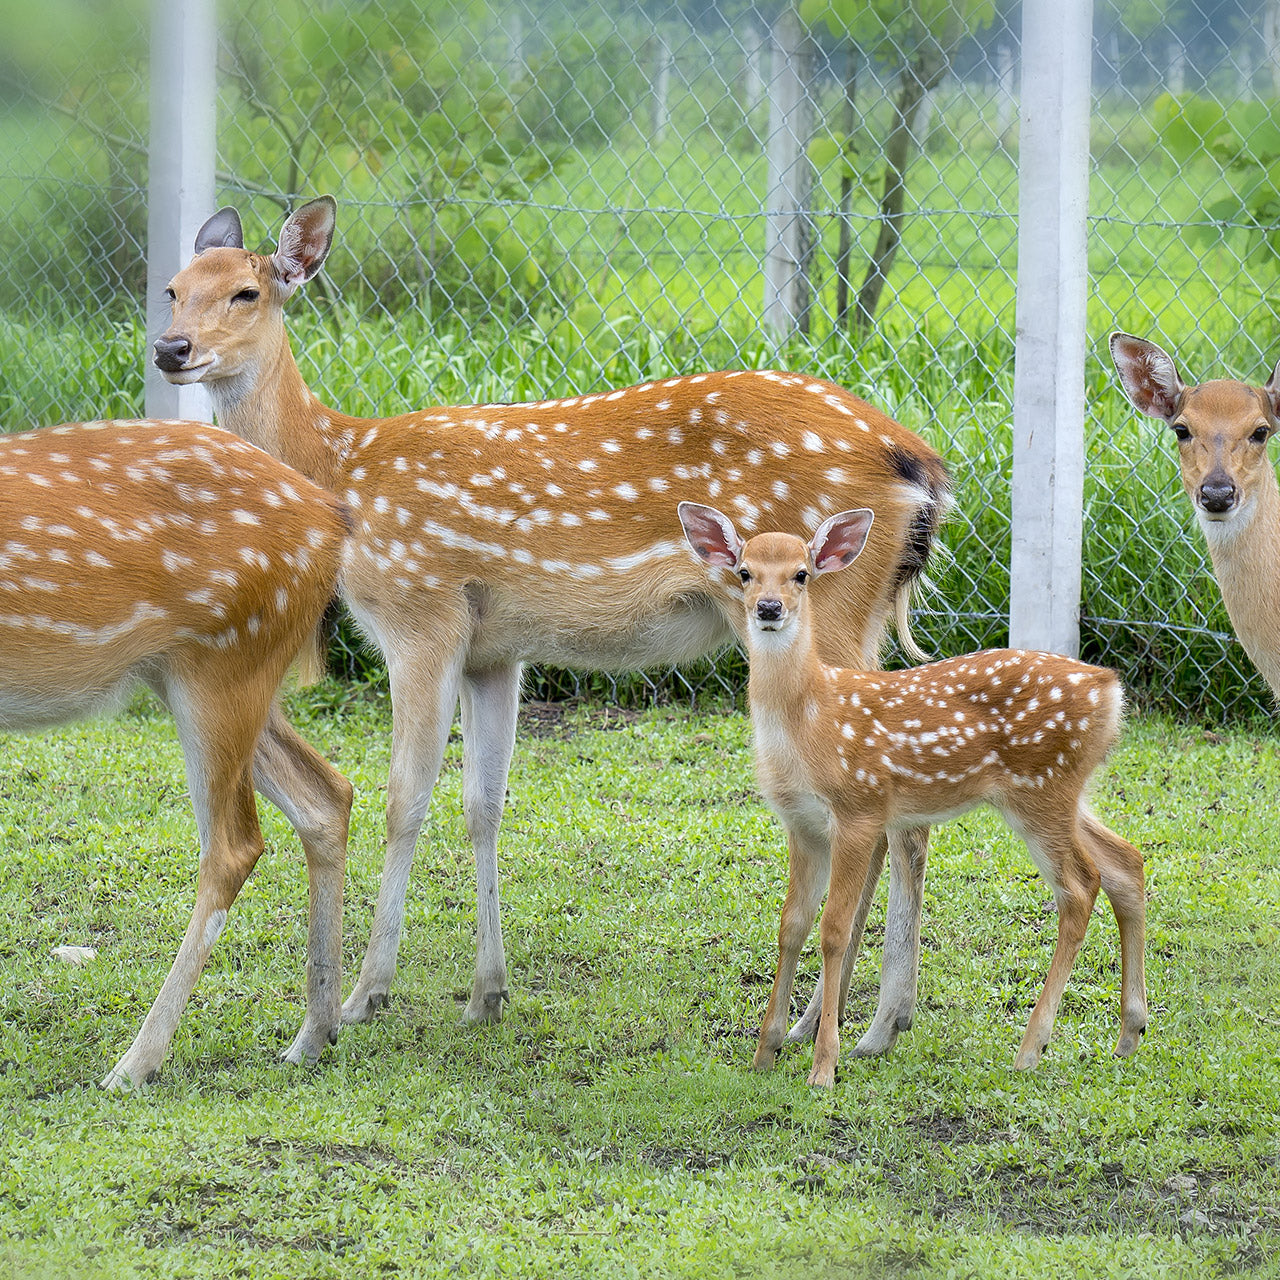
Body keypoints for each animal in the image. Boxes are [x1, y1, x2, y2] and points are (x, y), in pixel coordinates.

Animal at [1, 419, 350, 1090]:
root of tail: (331, 516)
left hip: (224, 660)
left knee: (235, 845)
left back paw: (134, 1064)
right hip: (199, 670)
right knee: (327, 795)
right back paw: (313, 1036)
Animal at [152, 202, 952, 1039]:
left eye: (247, 291)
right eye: (172, 288)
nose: (171, 349)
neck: (342, 474)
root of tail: (922, 468)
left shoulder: (420, 610)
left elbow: (405, 799)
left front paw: (365, 994)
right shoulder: (493, 650)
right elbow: (483, 806)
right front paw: (486, 992)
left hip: (826, 602)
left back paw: (849, 1025)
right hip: (856, 615)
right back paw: (871, 1021)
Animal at [680, 504, 1152, 1085]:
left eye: (801, 575)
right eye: (745, 572)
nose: (770, 608)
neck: (810, 721)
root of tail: (1111, 689)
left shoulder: (860, 808)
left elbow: (835, 930)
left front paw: (823, 1066)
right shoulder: (801, 823)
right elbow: (791, 925)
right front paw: (765, 1051)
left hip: (1040, 788)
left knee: (1081, 886)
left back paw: (1031, 1047)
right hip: (1063, 792)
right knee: (1126, 862)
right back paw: (1129, 1034)